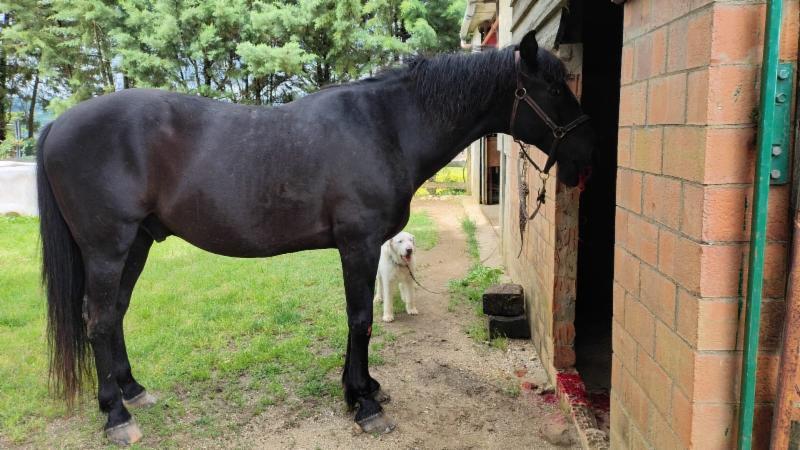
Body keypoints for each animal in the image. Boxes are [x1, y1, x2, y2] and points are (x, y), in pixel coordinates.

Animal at [36, 30, 594, 445]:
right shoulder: (359, 243)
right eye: (554, 88)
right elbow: (361, 319)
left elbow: (356, 319)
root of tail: (59, 124)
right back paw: (117, 417)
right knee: (98, 320)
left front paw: (363, 389)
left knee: (113, 316)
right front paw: (365, 404)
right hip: (107, 248)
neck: (386, 127)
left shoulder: (358, 247)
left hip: (136, 244)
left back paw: (133, 391)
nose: (587, 158)